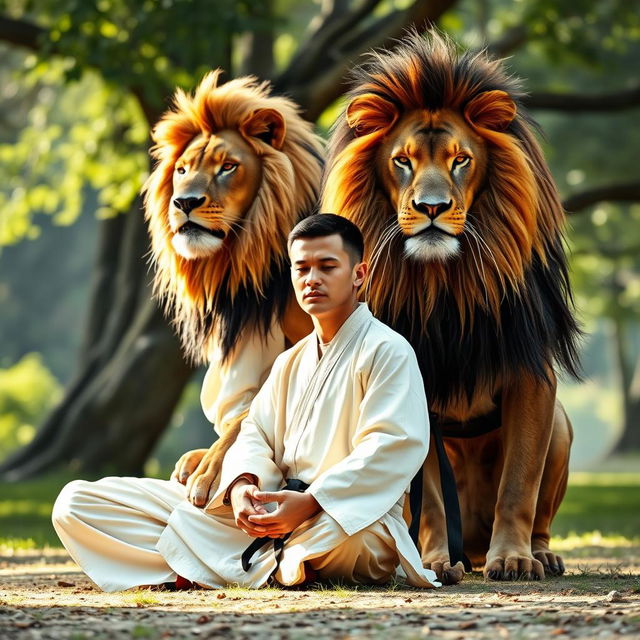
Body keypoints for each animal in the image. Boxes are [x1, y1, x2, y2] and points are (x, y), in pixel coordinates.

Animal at [322, 33, 584, 584]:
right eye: (403, 160)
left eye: (460, 159)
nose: (432, 208)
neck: (445, 283)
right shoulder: (410, 384)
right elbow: (432, 499)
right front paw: (437, 560)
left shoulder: (533, 378)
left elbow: (519, 483)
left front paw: (515, 559)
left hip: (561, 425)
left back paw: (540, 555)